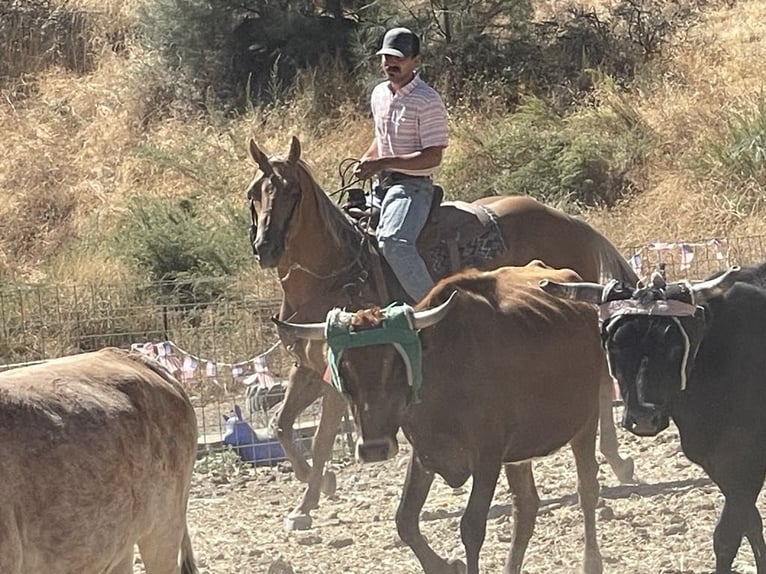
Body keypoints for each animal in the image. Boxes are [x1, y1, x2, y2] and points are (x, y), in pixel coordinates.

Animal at [249, 135, 640, 532]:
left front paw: (306, 504)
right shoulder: (309, 369)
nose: (266, 248)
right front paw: (319, 487)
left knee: (601, 382)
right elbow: (282, 426)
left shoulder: (335, 376)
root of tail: (570, 220)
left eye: (291, 190)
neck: (333, 273)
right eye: (254, 192)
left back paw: (616, 461)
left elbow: (321, 439)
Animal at [276, 264, 608, 574]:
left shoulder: (487, 457)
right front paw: (447, 564)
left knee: (587, 488)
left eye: (395, 366)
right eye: (344, 371)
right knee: (525, 506)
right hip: (519, 452)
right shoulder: (424, 453)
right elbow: (405, 520)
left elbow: (471, 527)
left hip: (586, 421)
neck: (444, 374)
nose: (374, 449)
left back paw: (591, 560)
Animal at [540, 266, 766, 574]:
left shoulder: (745, 463)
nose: (644, 418)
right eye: (615, 344)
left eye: (673, 345)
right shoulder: (721, 466)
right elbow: (752, 525)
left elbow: (727, 536)